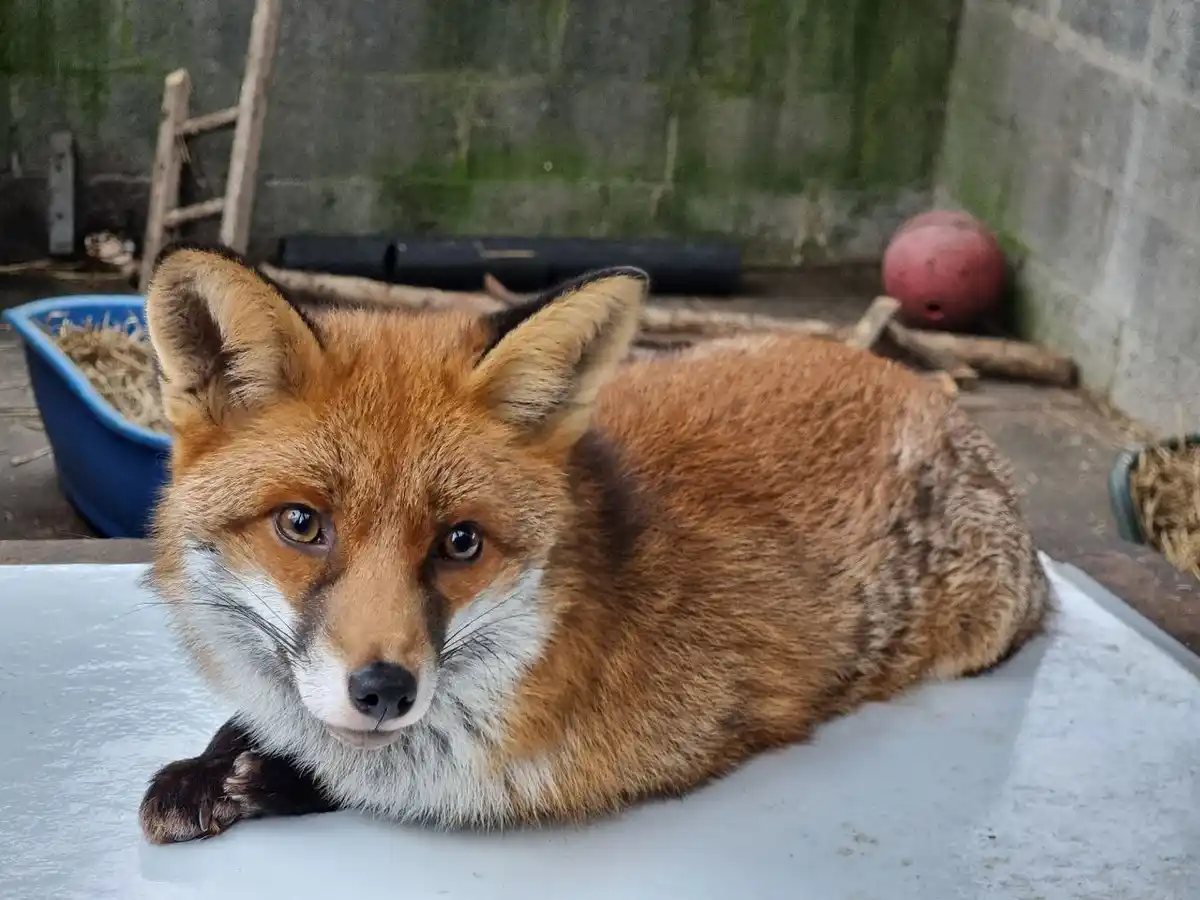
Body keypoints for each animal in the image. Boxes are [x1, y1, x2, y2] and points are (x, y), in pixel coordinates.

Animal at [137, 245, 1050, 844]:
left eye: (460, 541)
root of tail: (940, 400)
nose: (385, 691)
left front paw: (270, 775)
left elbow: (382, 781)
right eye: (302, 524)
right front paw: (221, 762)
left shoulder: (614, 762)